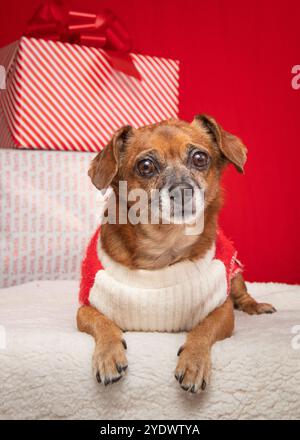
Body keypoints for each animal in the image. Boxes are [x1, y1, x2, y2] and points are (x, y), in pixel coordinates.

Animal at [77, 115, 274, 394]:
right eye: (146, 166)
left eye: (200, 158)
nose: (182, 189)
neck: (164, 245)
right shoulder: (85, 308)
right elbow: (103, 323)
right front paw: (108, 356)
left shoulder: (222, 311)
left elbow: (203, 329)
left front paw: (193, 362)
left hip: (234, 275)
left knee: (241, 294)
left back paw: (256, 306)